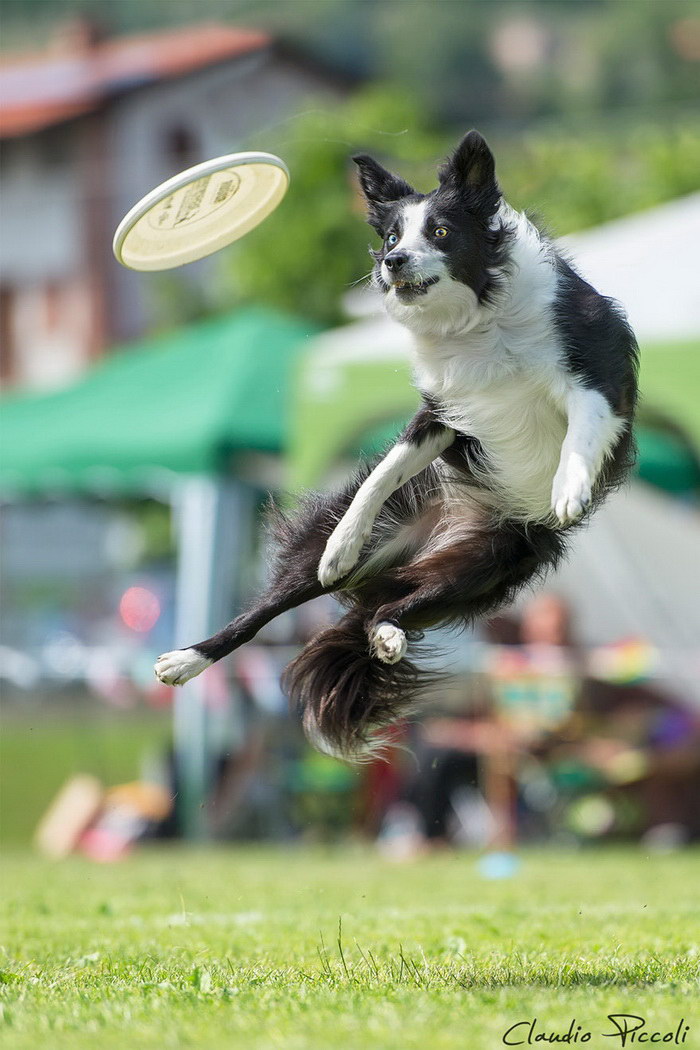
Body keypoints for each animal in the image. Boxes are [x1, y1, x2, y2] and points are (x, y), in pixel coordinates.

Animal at [156, 131, 638, 760]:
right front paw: (343, 543)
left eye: (441, 232)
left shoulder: (595, 379)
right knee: (267, 614)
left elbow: (580, 433)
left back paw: (385, 632)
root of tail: (441, 532)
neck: (478, 317)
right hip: (364, 555)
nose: (394, 262)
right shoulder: (439, 414)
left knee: (392, 609)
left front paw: (569, 488)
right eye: (390, 237)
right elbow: (385, 473)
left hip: (482, 564)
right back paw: (188, 659)